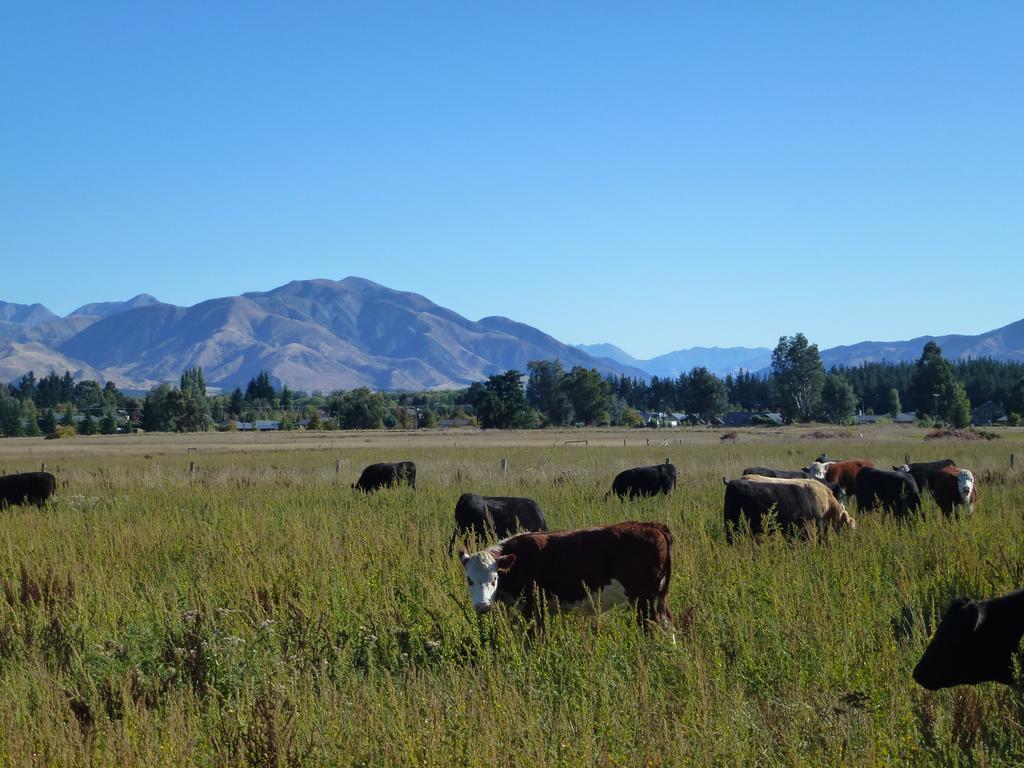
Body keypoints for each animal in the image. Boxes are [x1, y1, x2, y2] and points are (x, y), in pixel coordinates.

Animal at [456, 524, 671, 630]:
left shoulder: (535, 609)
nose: (483, 606)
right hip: (658, 598)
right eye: (469, 580)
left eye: (494, 579)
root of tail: (652, 527)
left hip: (644, 600)